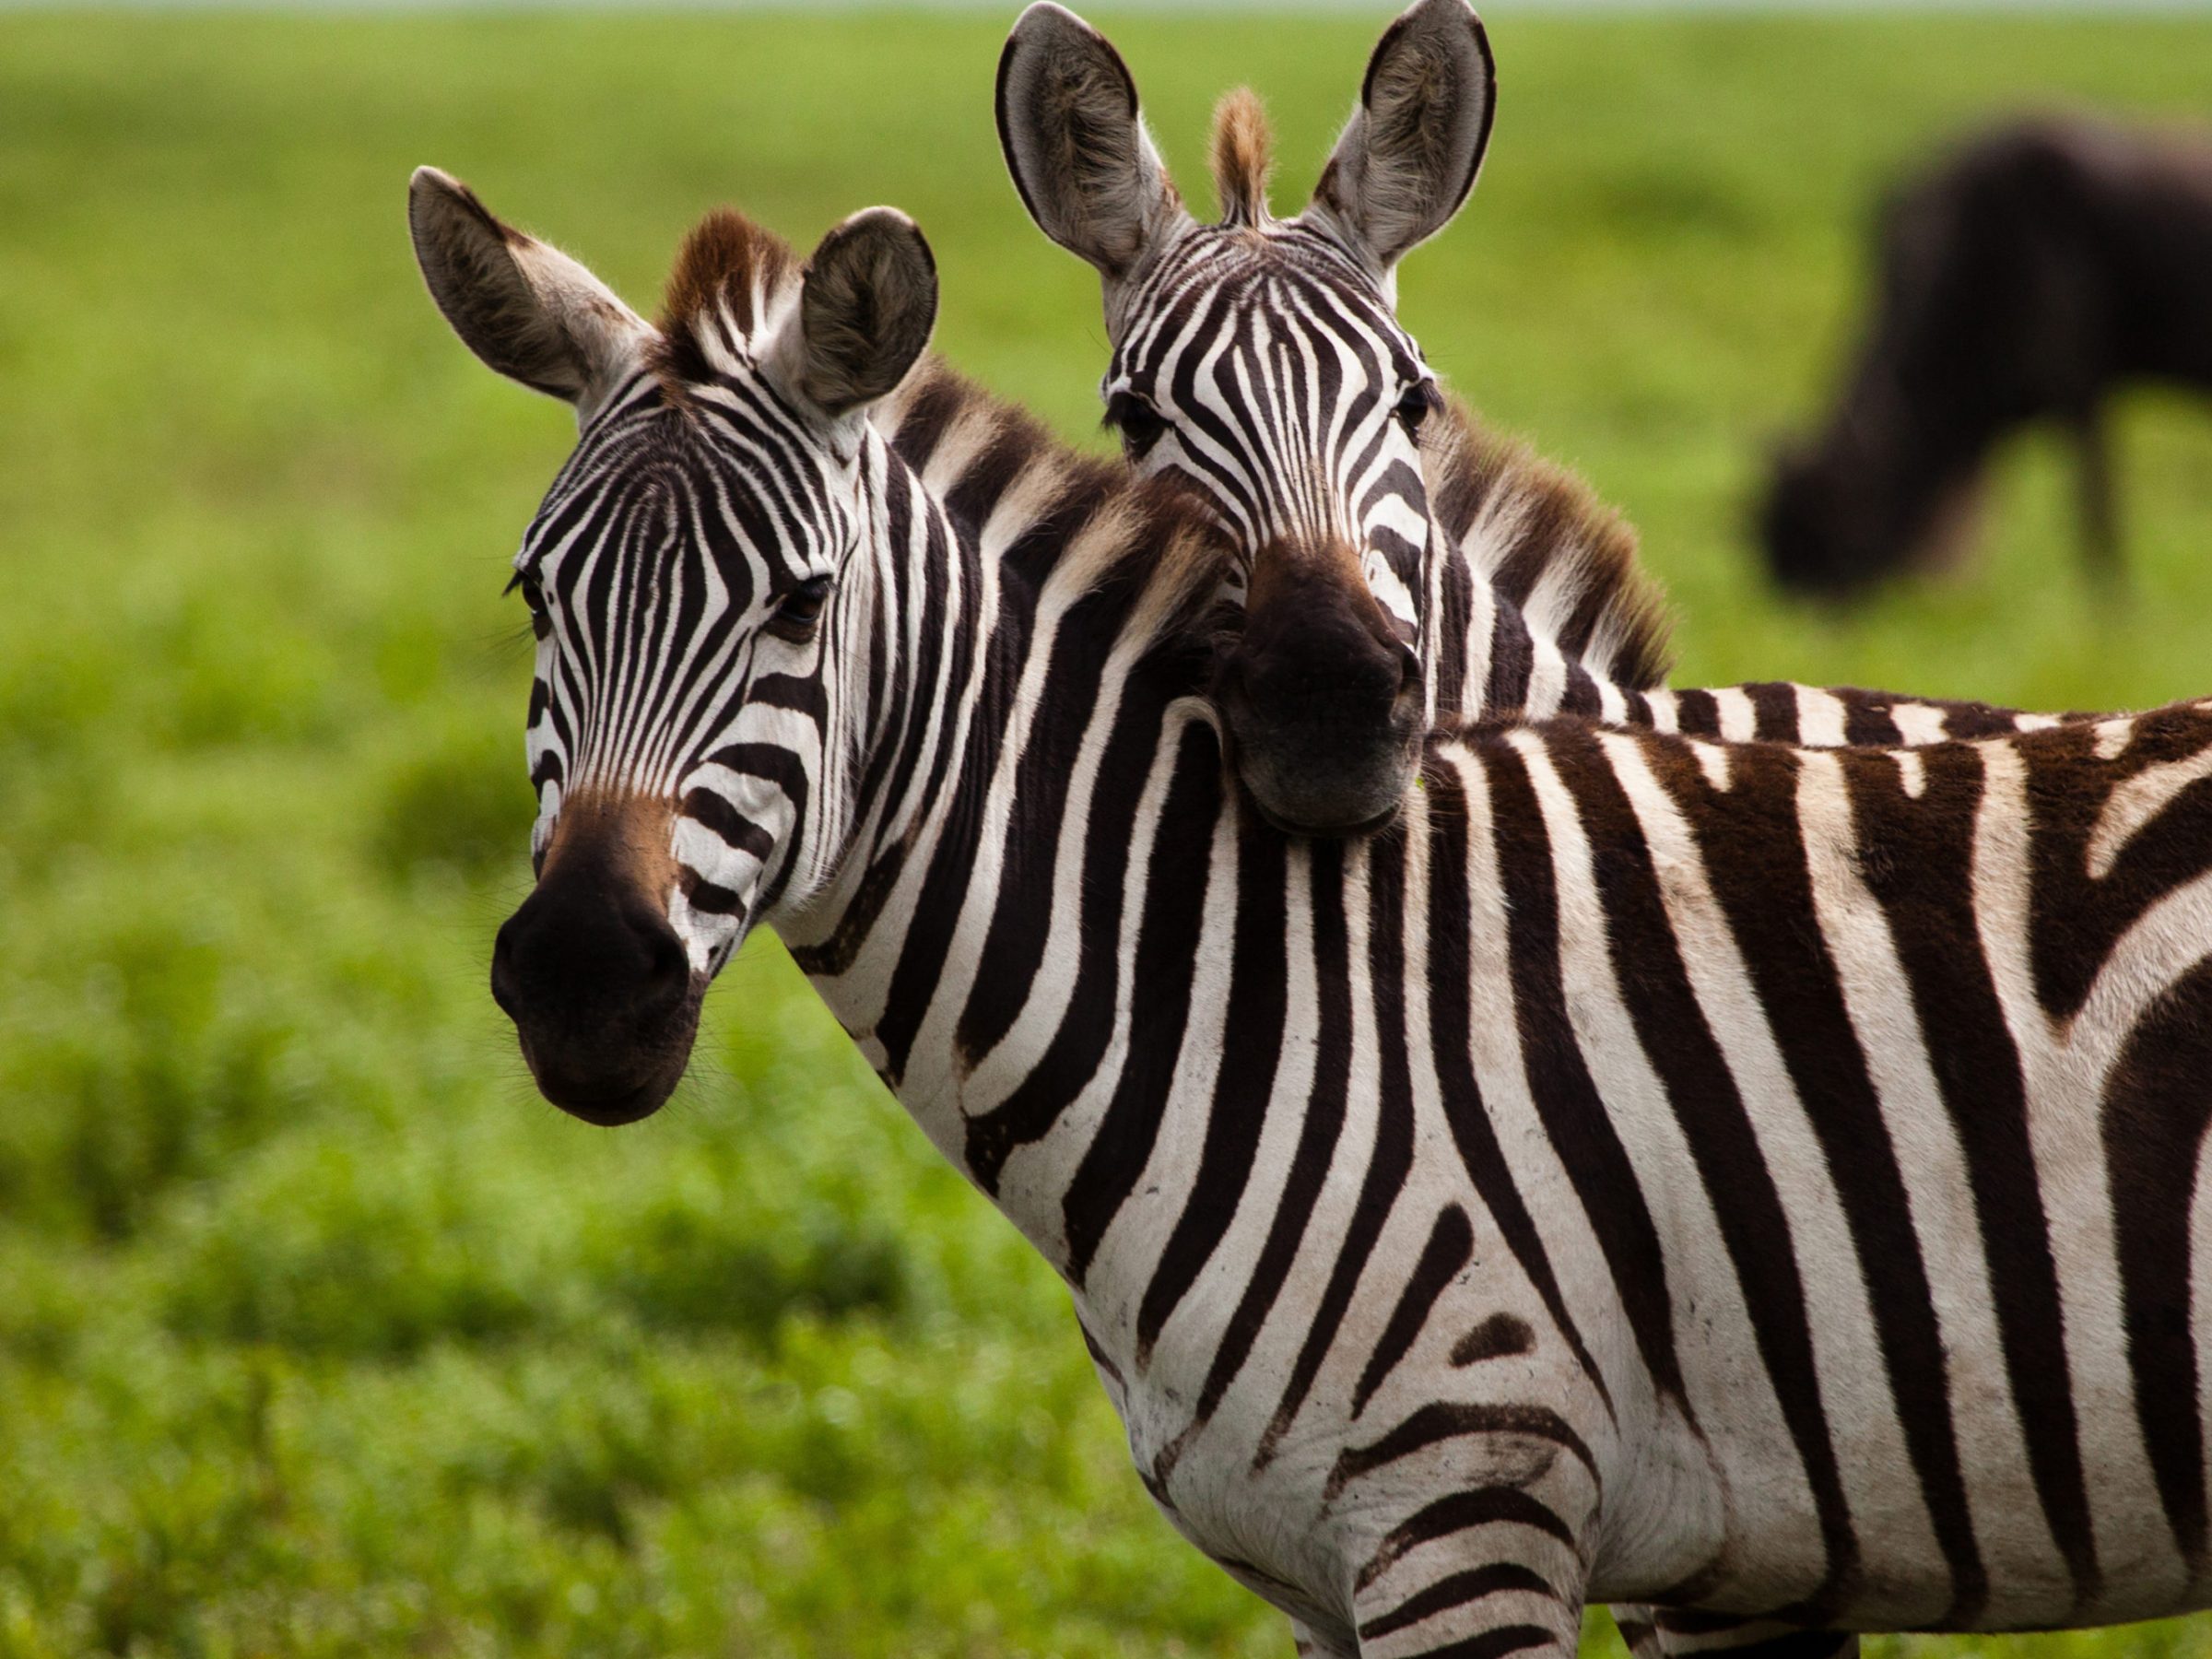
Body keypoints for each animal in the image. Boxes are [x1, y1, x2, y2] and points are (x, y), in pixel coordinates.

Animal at [412, 172, 2212, 1659]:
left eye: (801, 602)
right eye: (533, 594)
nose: (579, 976)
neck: (1257, 985)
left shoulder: (1471, 1505)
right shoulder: (1345, 1572)